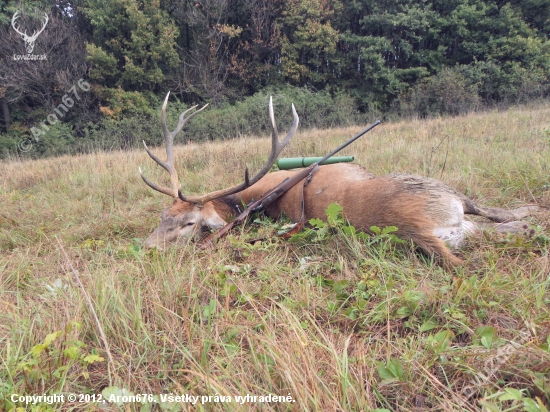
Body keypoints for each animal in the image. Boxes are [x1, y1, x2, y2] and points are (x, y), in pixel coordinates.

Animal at [140, 93, 540, 268]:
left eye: (186, 223)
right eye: (162, 218)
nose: (146, 247)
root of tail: (420, 230)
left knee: (501, 221)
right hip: (435, 189)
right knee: (501, 223)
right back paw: (535, 215)